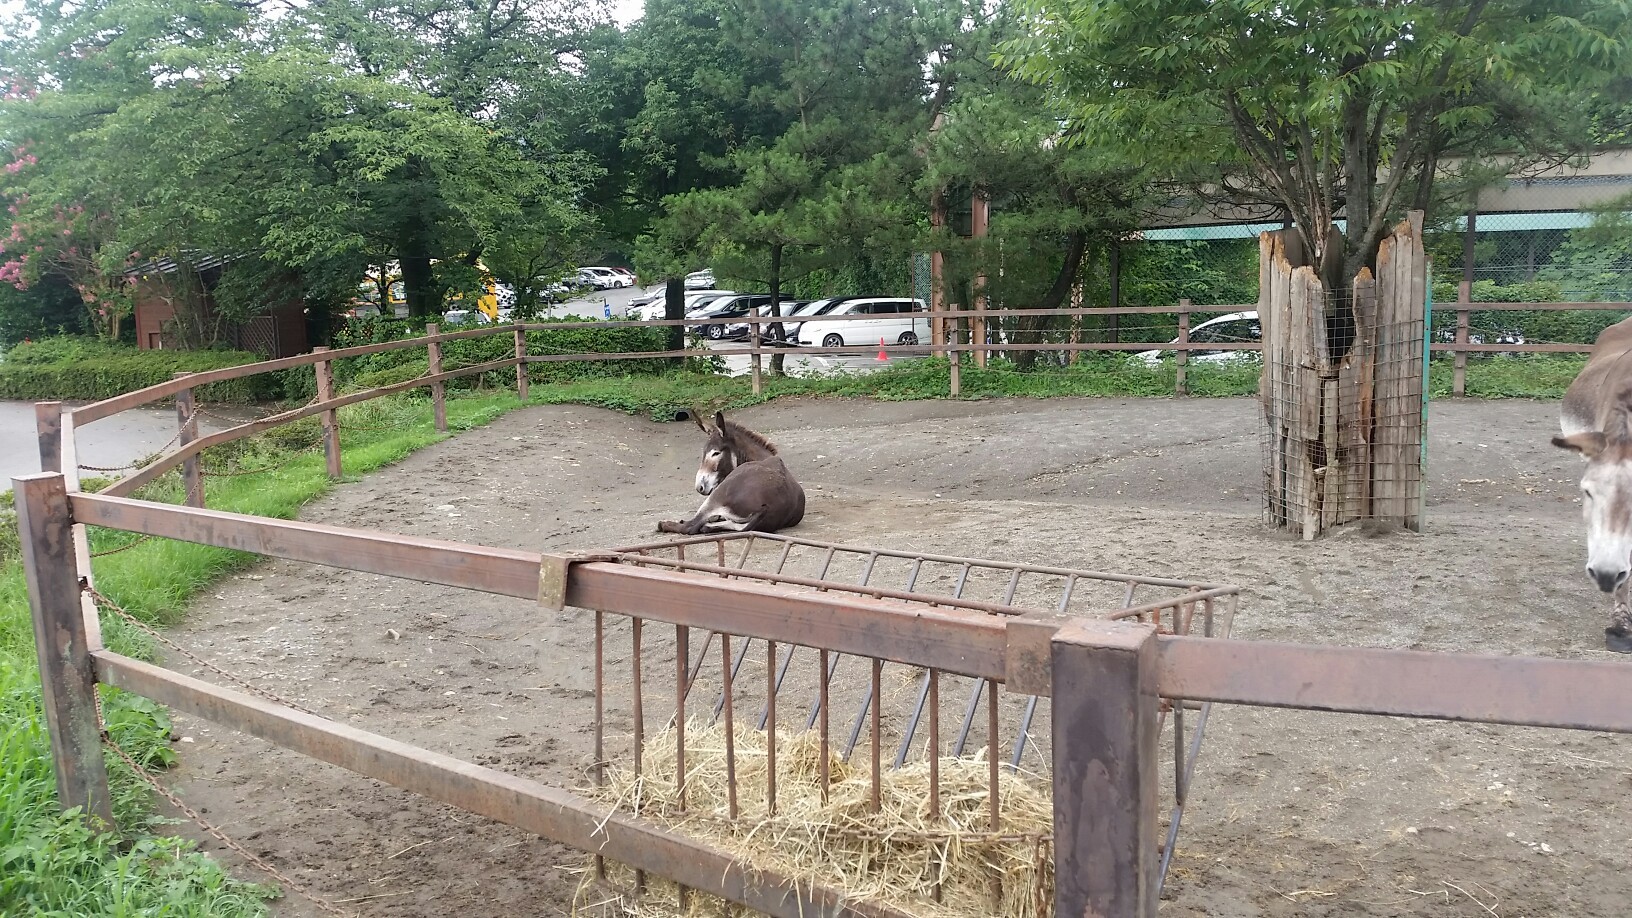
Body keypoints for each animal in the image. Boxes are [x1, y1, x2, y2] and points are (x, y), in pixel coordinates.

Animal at [657, 411, 806, 535]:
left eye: (716, 453)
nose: (699, 487)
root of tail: (767, 507)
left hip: (716, 496)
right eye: (704, 452)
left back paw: (664, 524)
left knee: (691, 526)